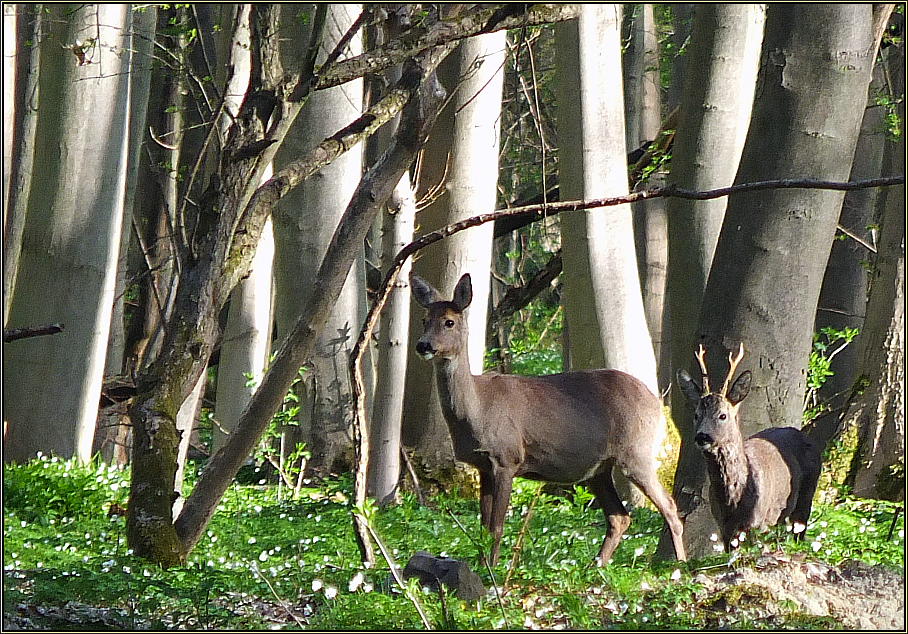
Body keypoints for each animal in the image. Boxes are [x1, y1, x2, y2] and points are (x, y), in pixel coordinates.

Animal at [408, 272, 684, 564]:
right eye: (424, 319)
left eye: (449, 321)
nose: (423, 345)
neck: (477, 410)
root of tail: (656, 403)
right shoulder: (483, 465)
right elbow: (483, 528)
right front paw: (483, 566)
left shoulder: (507, 458)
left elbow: (496, 527)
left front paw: (492, 569)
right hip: (598, 469)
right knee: (619, 517)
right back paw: (595, 565)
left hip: (636, 450)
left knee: (668, 506)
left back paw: (679, 564)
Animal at [672, 344, 824, 544]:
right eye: (696, 415)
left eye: (723, 415)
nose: (702, 437)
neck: (734, 500)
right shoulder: (724, 527)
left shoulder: (759, 522)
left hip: (805, 498)